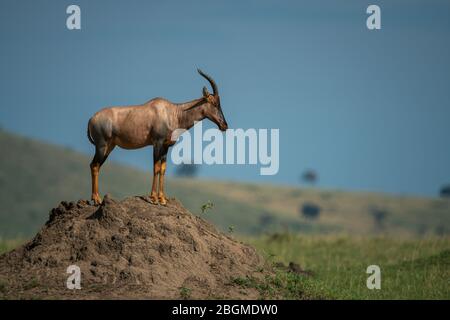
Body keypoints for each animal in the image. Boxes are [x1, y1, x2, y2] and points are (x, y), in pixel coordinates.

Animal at [87, 69, 229, 205]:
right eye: (214, 103)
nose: (224, 125)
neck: (173, 112)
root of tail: (92, 118)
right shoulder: (157, 143)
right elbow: (155, 168)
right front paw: (154, 198)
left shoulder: (166, 146)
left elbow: (163, 169)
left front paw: (163, 199)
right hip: (101, 145)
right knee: (94, 165)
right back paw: (96, 199)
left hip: (109, 147)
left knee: (97, 166)